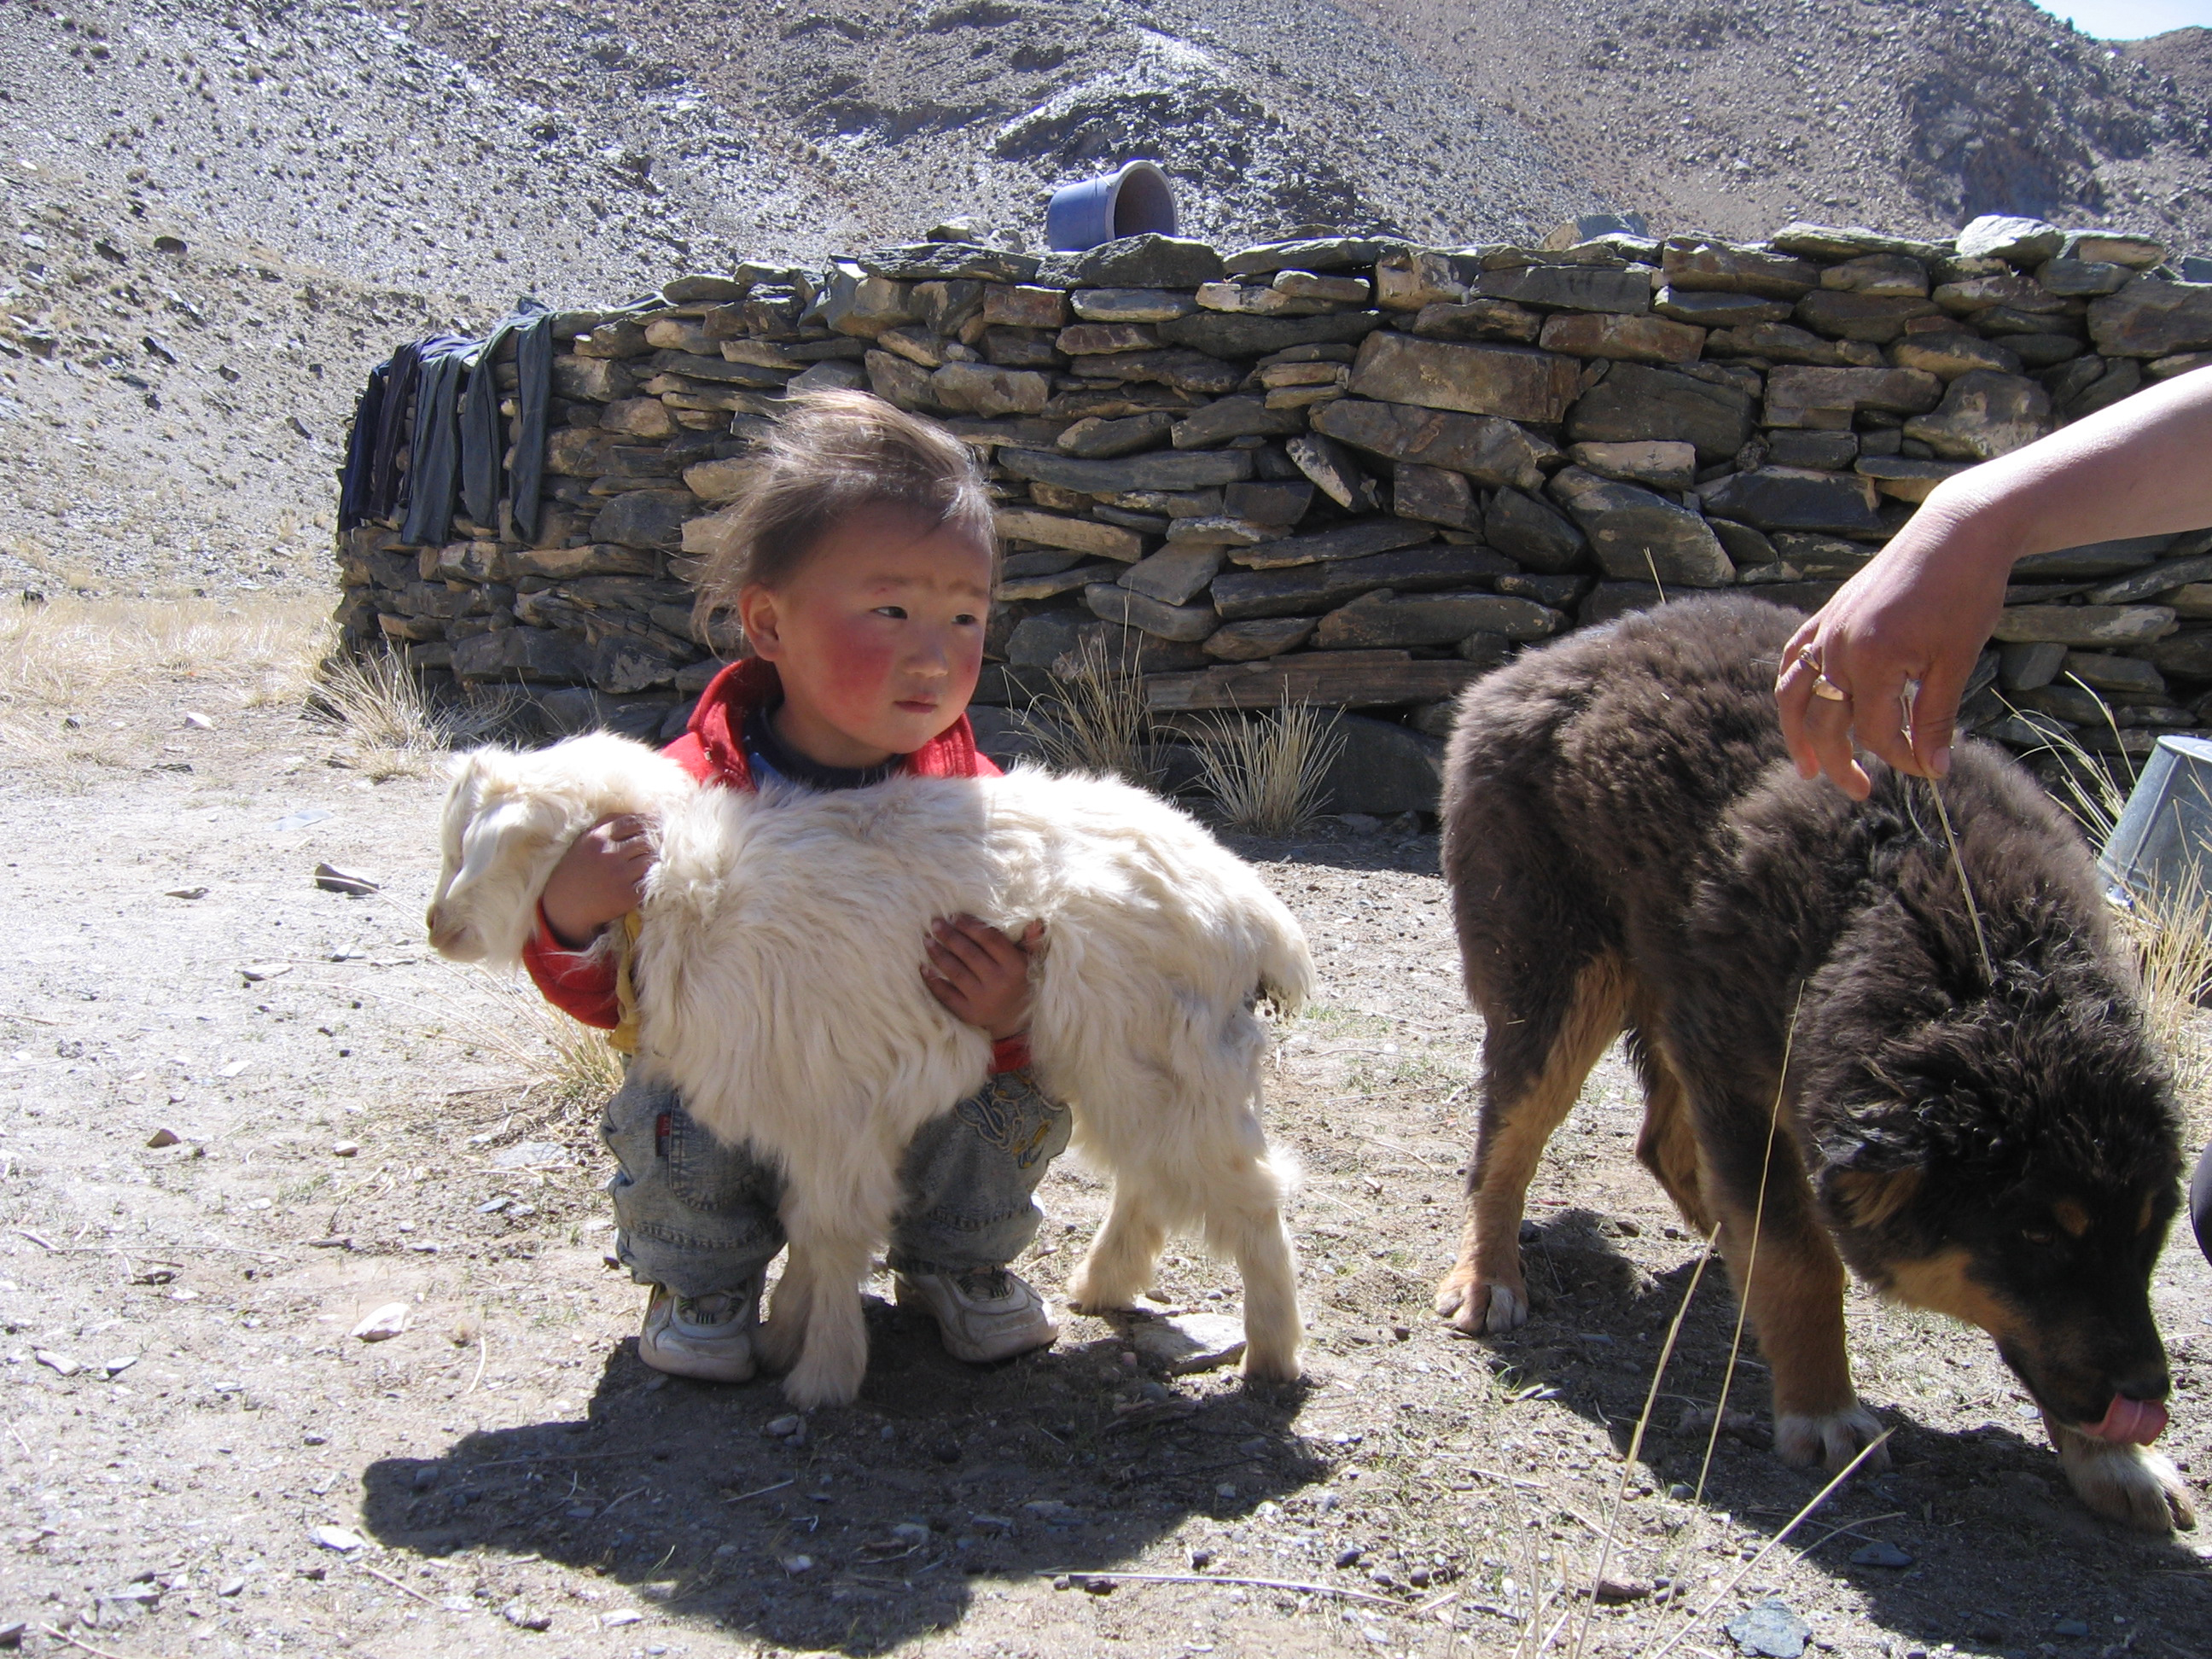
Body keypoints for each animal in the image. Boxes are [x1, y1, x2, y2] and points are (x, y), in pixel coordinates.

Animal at [431, 734, 1309, 1406]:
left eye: (474, 848)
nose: (439, 928)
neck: (682, 886)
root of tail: (1259, 916)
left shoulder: (829, 1108)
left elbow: (827, 1233)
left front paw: (819, 1376)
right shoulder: (809, 1110)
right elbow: (807, 1229)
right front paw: (784, 1337)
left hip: (1163, 1058)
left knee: (1248, 1195)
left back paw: (1272, 1357)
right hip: (1136, 1066)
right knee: (1154, 1177)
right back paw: (1105, 1285)